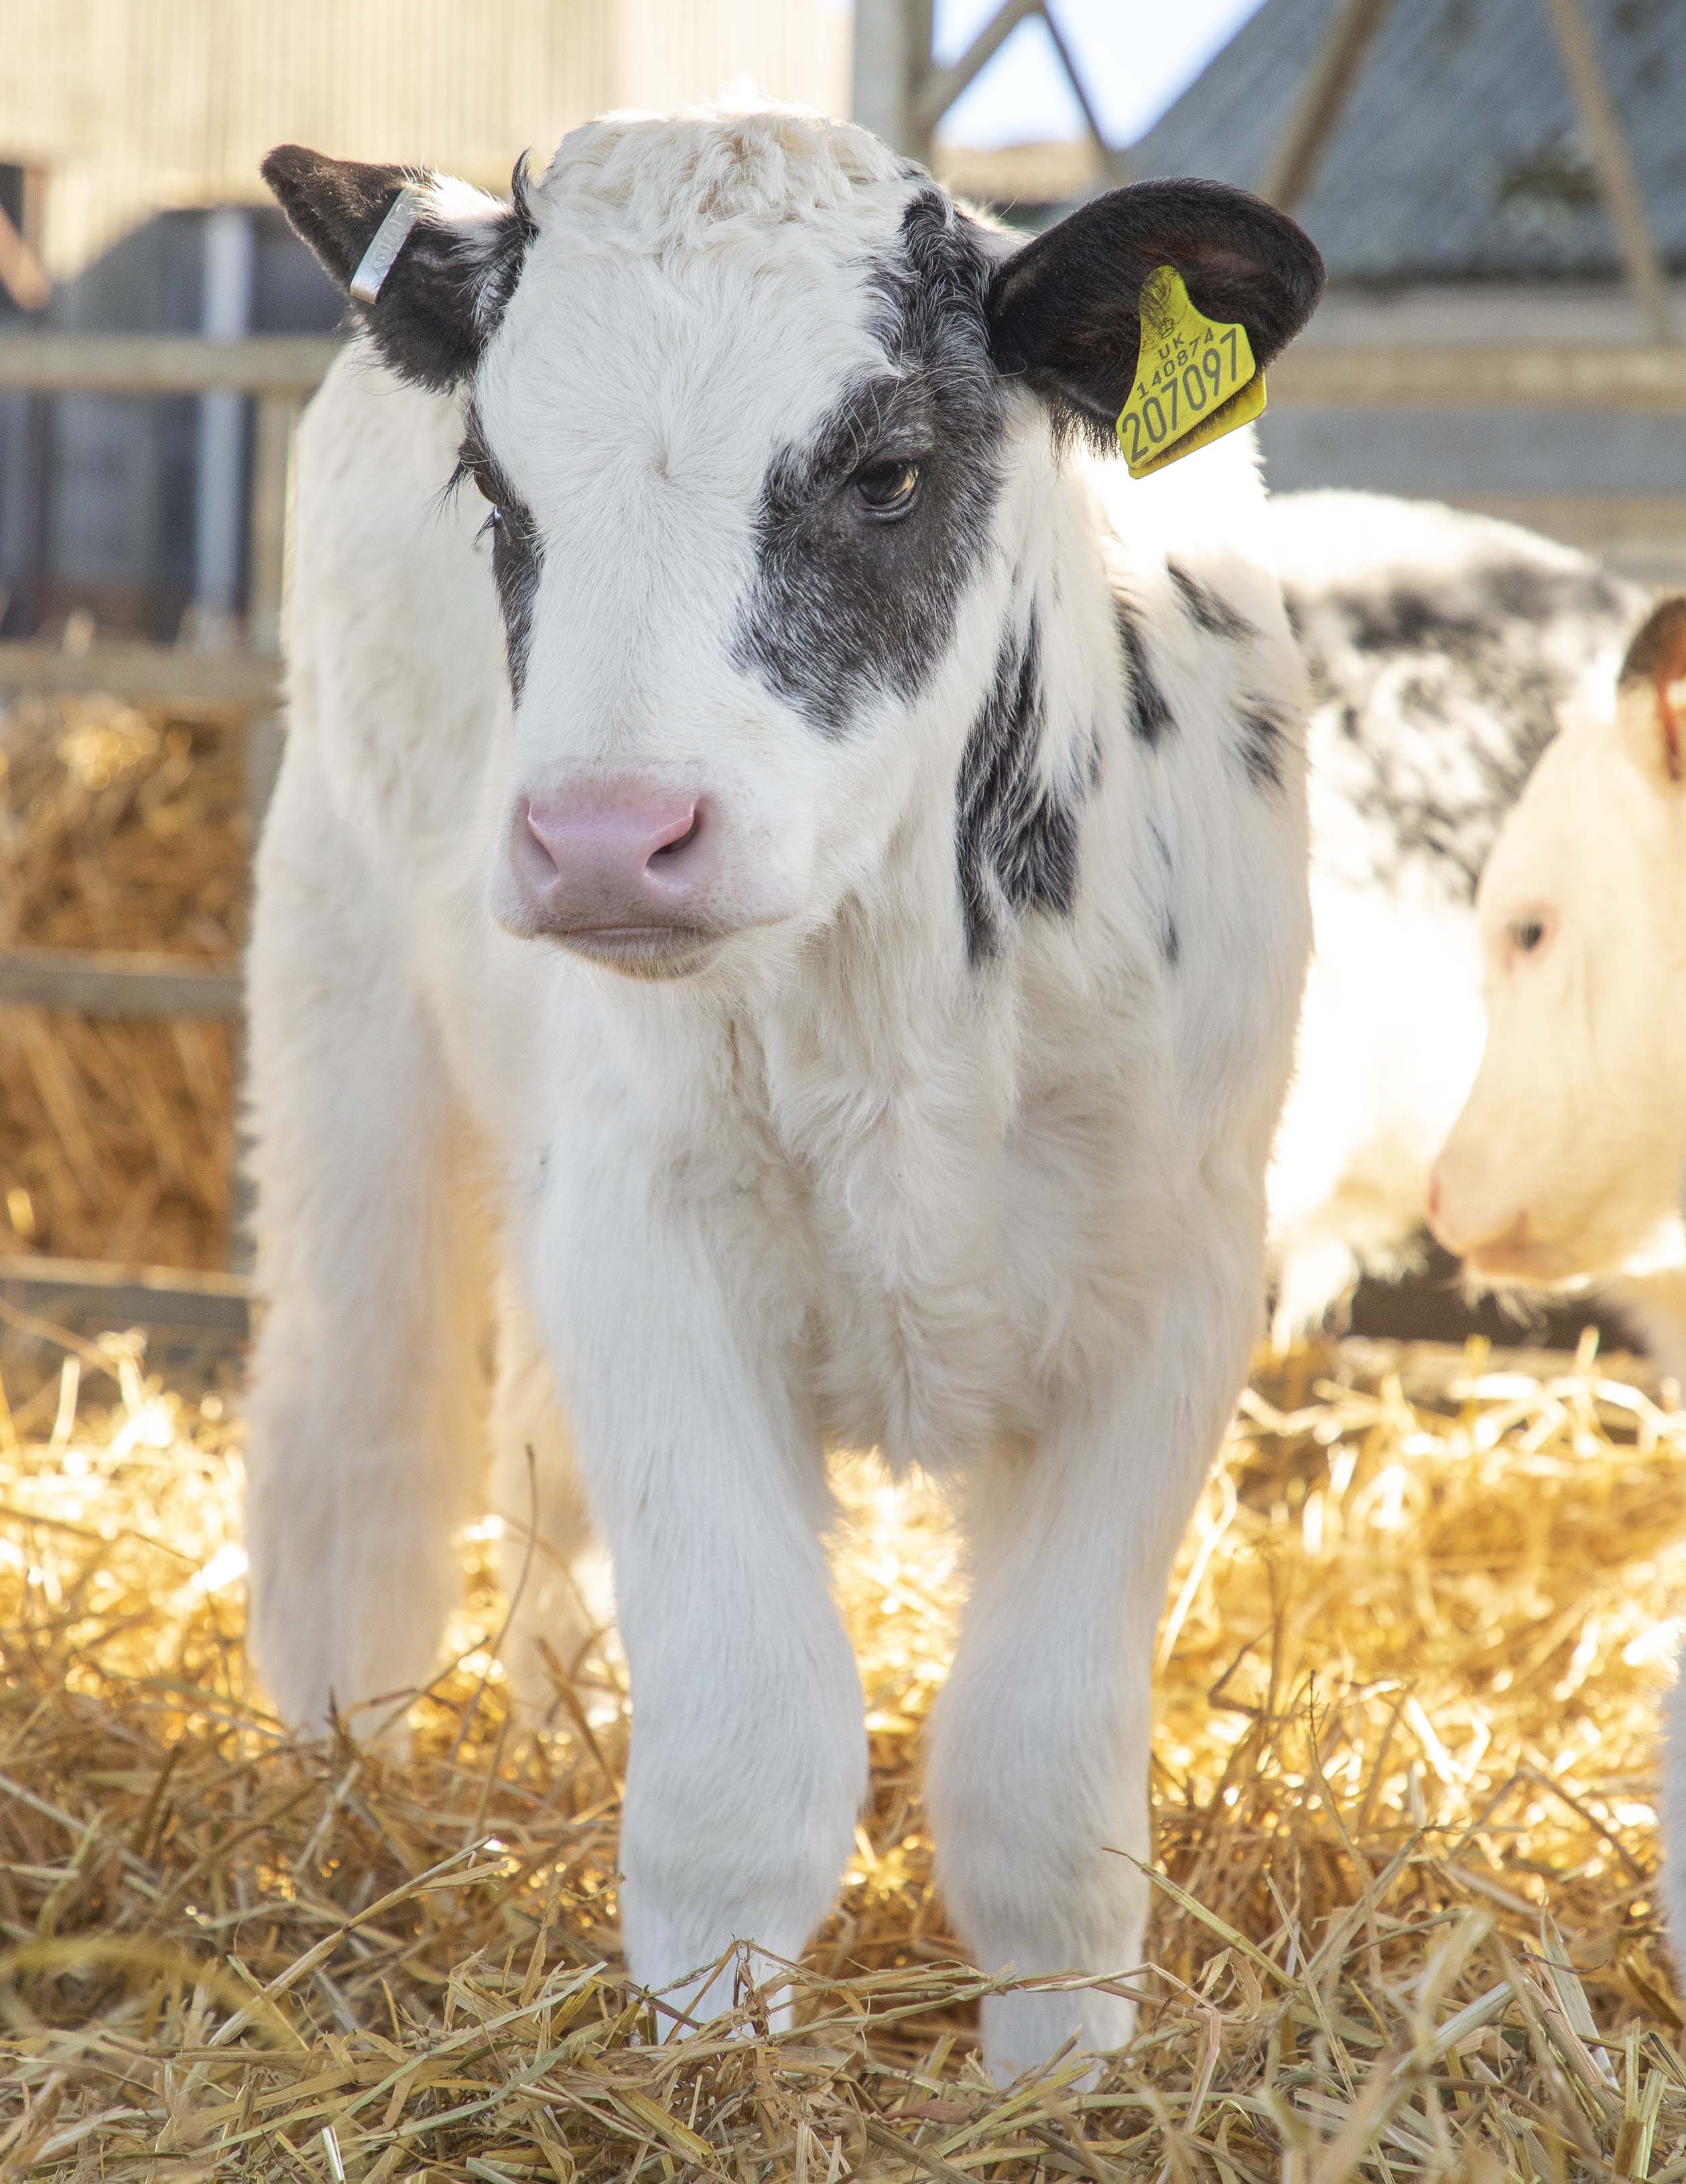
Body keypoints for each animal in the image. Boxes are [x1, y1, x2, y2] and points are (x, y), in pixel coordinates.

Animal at [253, 106, 1327, 2079]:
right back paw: (338, 1785)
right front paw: (712, 2064)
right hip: (345, 981)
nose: (608, 834)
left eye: (887, 472)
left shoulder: (1181, 1270)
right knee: (356, 1425)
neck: (901, 973)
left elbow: (1041, 1762)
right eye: (498, 497)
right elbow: (748, 1738)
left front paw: (1061, 2073)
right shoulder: (646, 1234)